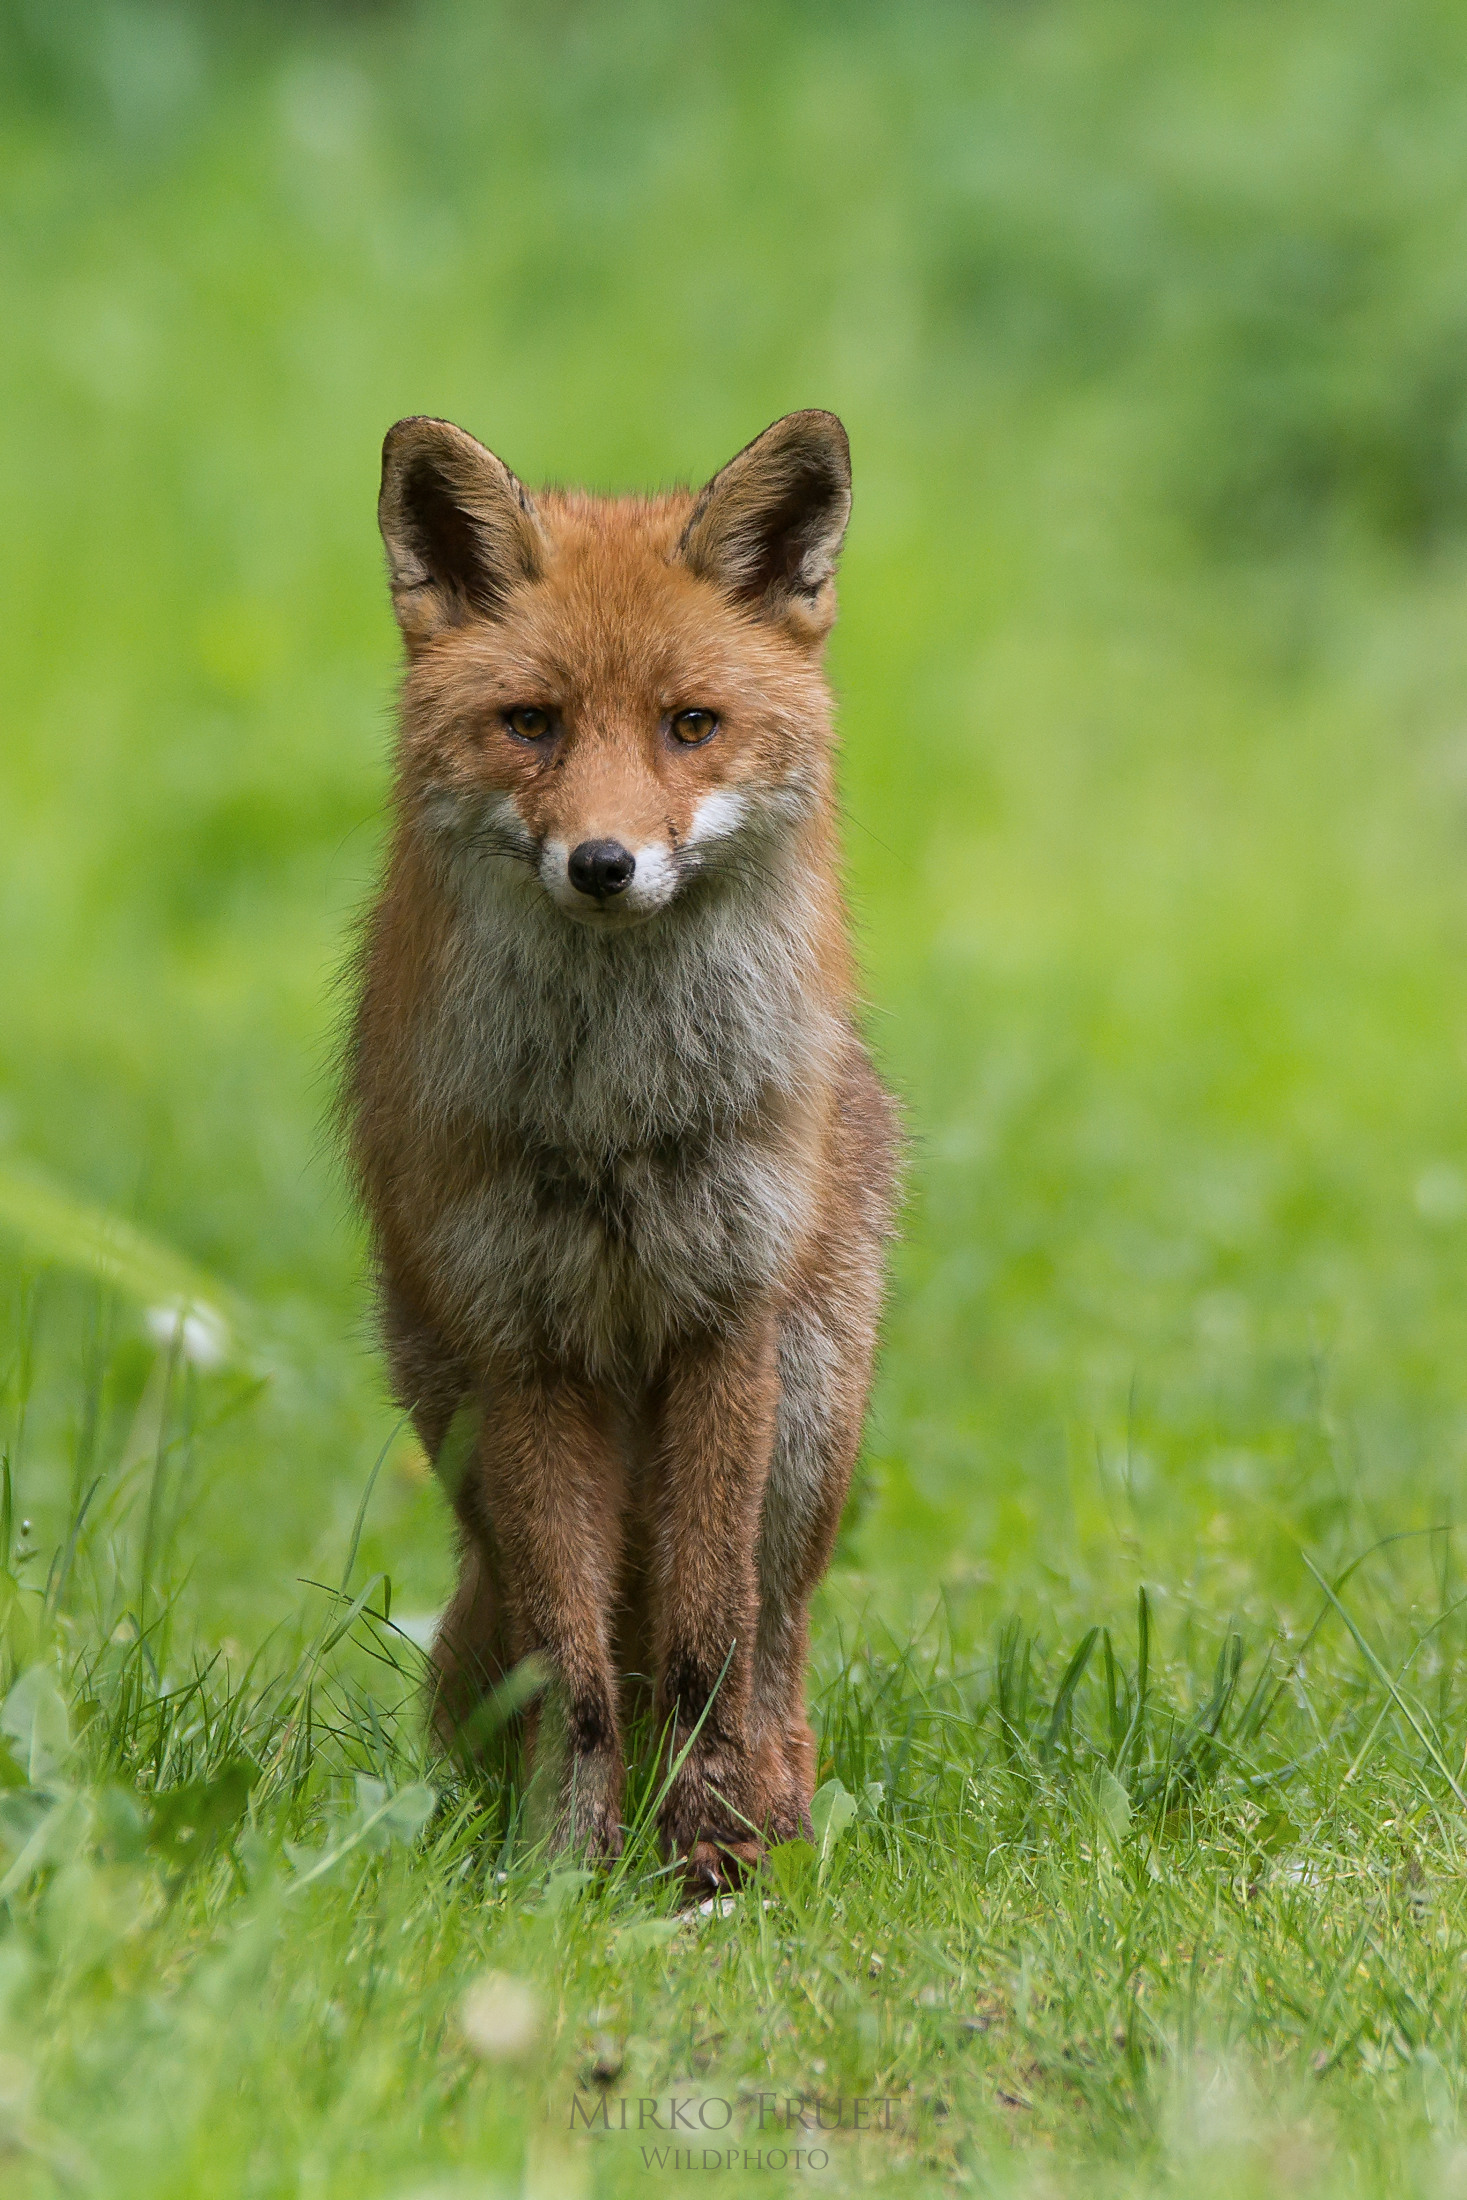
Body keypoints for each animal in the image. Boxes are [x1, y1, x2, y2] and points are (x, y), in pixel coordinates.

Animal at [345, 408, 899, 1891]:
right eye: (531, 724)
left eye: (688, 725)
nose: (603, 863)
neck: (615, 1119)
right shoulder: (526, 1346)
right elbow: (579, 1672)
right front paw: (564, 1877)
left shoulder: (724, 1320)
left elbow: (705, 1645)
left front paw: (711, 1863)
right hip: (456, 1427)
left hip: (809, 1426)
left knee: (772, 1649)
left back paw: (781, 1820)